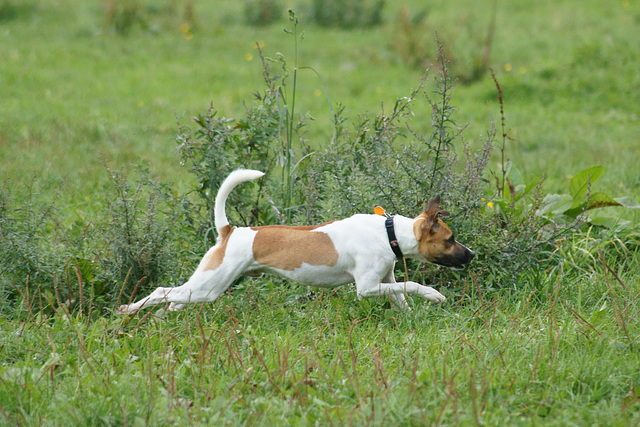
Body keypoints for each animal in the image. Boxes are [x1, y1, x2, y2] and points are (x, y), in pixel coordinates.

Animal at [116, 169, 476, 316]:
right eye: (450, 239)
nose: (471, 255)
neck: (389, 232)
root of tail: (230, 230)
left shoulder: (385, 279)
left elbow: (401, 295)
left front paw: (411, 318)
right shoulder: (366, 288)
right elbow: (413, 284)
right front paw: (434, 295)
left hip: (205, 287)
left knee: (173, 298)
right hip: (210, 286)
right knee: (161, 291)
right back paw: (128, 311)